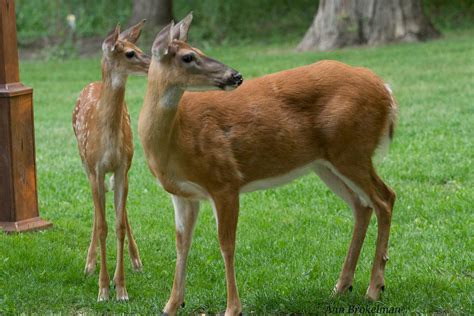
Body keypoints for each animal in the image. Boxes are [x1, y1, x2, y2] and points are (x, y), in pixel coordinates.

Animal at [72, 20, 150, 302]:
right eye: (129, 53)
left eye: (140, 48)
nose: (152, 64)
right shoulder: (96, 168)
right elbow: (103, 225)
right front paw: (104, 288)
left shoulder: (122, 167)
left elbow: (118, 225)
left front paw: (121, 287)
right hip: (84, 162)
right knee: (97, 213)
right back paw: (89, 263)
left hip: (122, 170)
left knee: (119, 213)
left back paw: (136, 260)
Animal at [140, 12, 396, 316]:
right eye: (189, 56)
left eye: (198, 50)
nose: (235, 75)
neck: (176, 139)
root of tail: (385, 90)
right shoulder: (183, 194)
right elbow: (181, 245)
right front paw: (171, 305)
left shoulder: (225, 180)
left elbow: (226, 244)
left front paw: (232, 308)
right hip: (326, 163)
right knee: (362, 205)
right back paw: (341, 287)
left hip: (352, 150)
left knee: (385, 199)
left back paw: (374, 288)